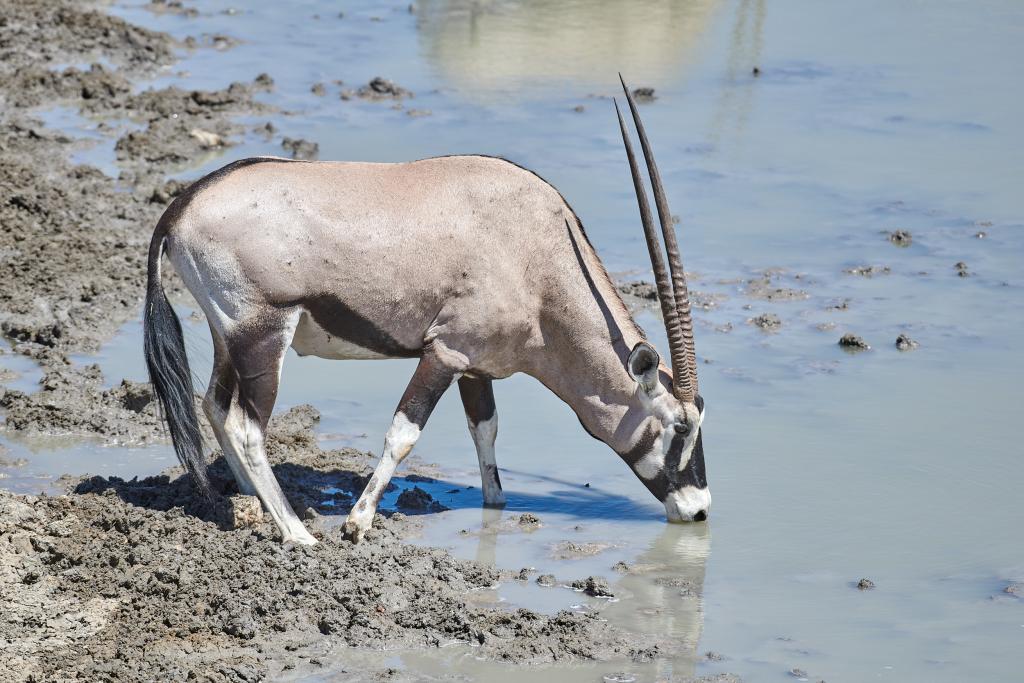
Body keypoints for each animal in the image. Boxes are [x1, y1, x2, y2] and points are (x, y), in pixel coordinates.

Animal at [142, 77, 704, 544]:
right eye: (681, 427)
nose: (698, 509)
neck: (536, 256)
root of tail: (181, 208)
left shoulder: (477, 366)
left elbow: (486, 429)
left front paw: (495, 505)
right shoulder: (445, 352)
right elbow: (403, 433)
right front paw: (356, 522)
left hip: (229, 337)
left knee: (215, 406)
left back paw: (249, 502)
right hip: (263, 335)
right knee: (247, 427)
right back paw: (297, 534)